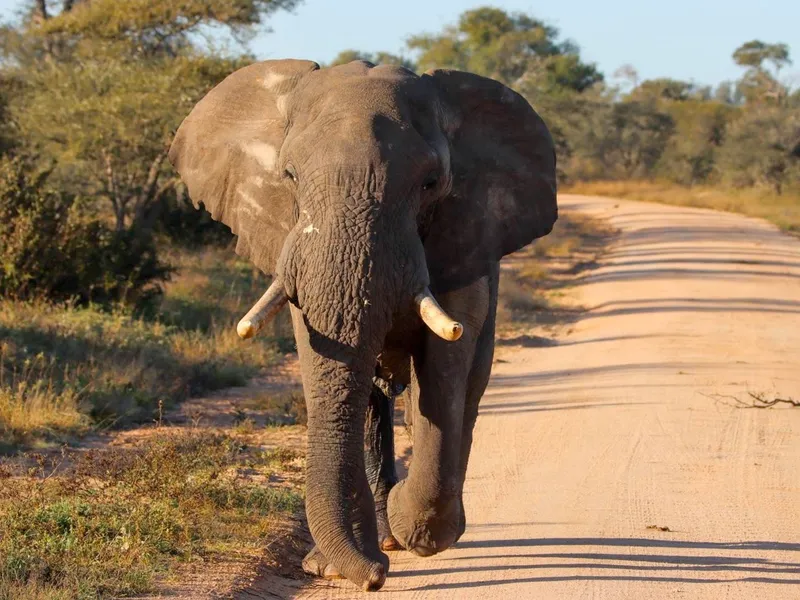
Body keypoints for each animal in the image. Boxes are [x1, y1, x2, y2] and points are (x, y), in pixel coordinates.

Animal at [169, 59, 557, 591]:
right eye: (289, 175)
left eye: (431, 183)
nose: (374, 577)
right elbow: (323, 363)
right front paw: (335, 566)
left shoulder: (464, 235)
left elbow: (445, 371)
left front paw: (413, 526)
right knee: (373, 399)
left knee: (464, 389)